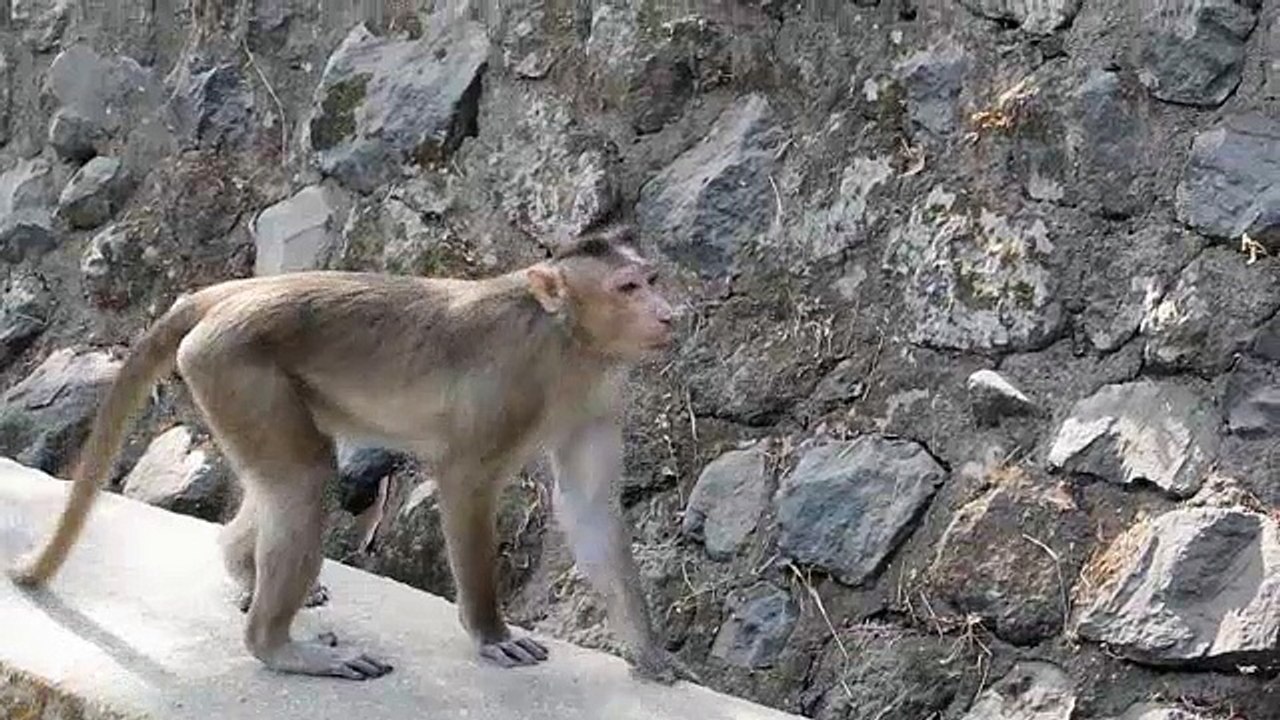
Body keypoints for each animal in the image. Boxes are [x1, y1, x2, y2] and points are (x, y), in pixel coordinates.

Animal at [9, 224, 693, 683]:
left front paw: (650, 653)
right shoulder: (507, 386)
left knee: (291, 478)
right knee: (304, 478)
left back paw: (242, 566)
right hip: (231, 365)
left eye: (652, 280)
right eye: (628, 287)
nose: (668, 312)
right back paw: (277, 645)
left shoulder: (599, 396)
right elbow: (465, 483)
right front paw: (490, 633)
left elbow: (589, 508)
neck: (567, 340)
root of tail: (229, 295)